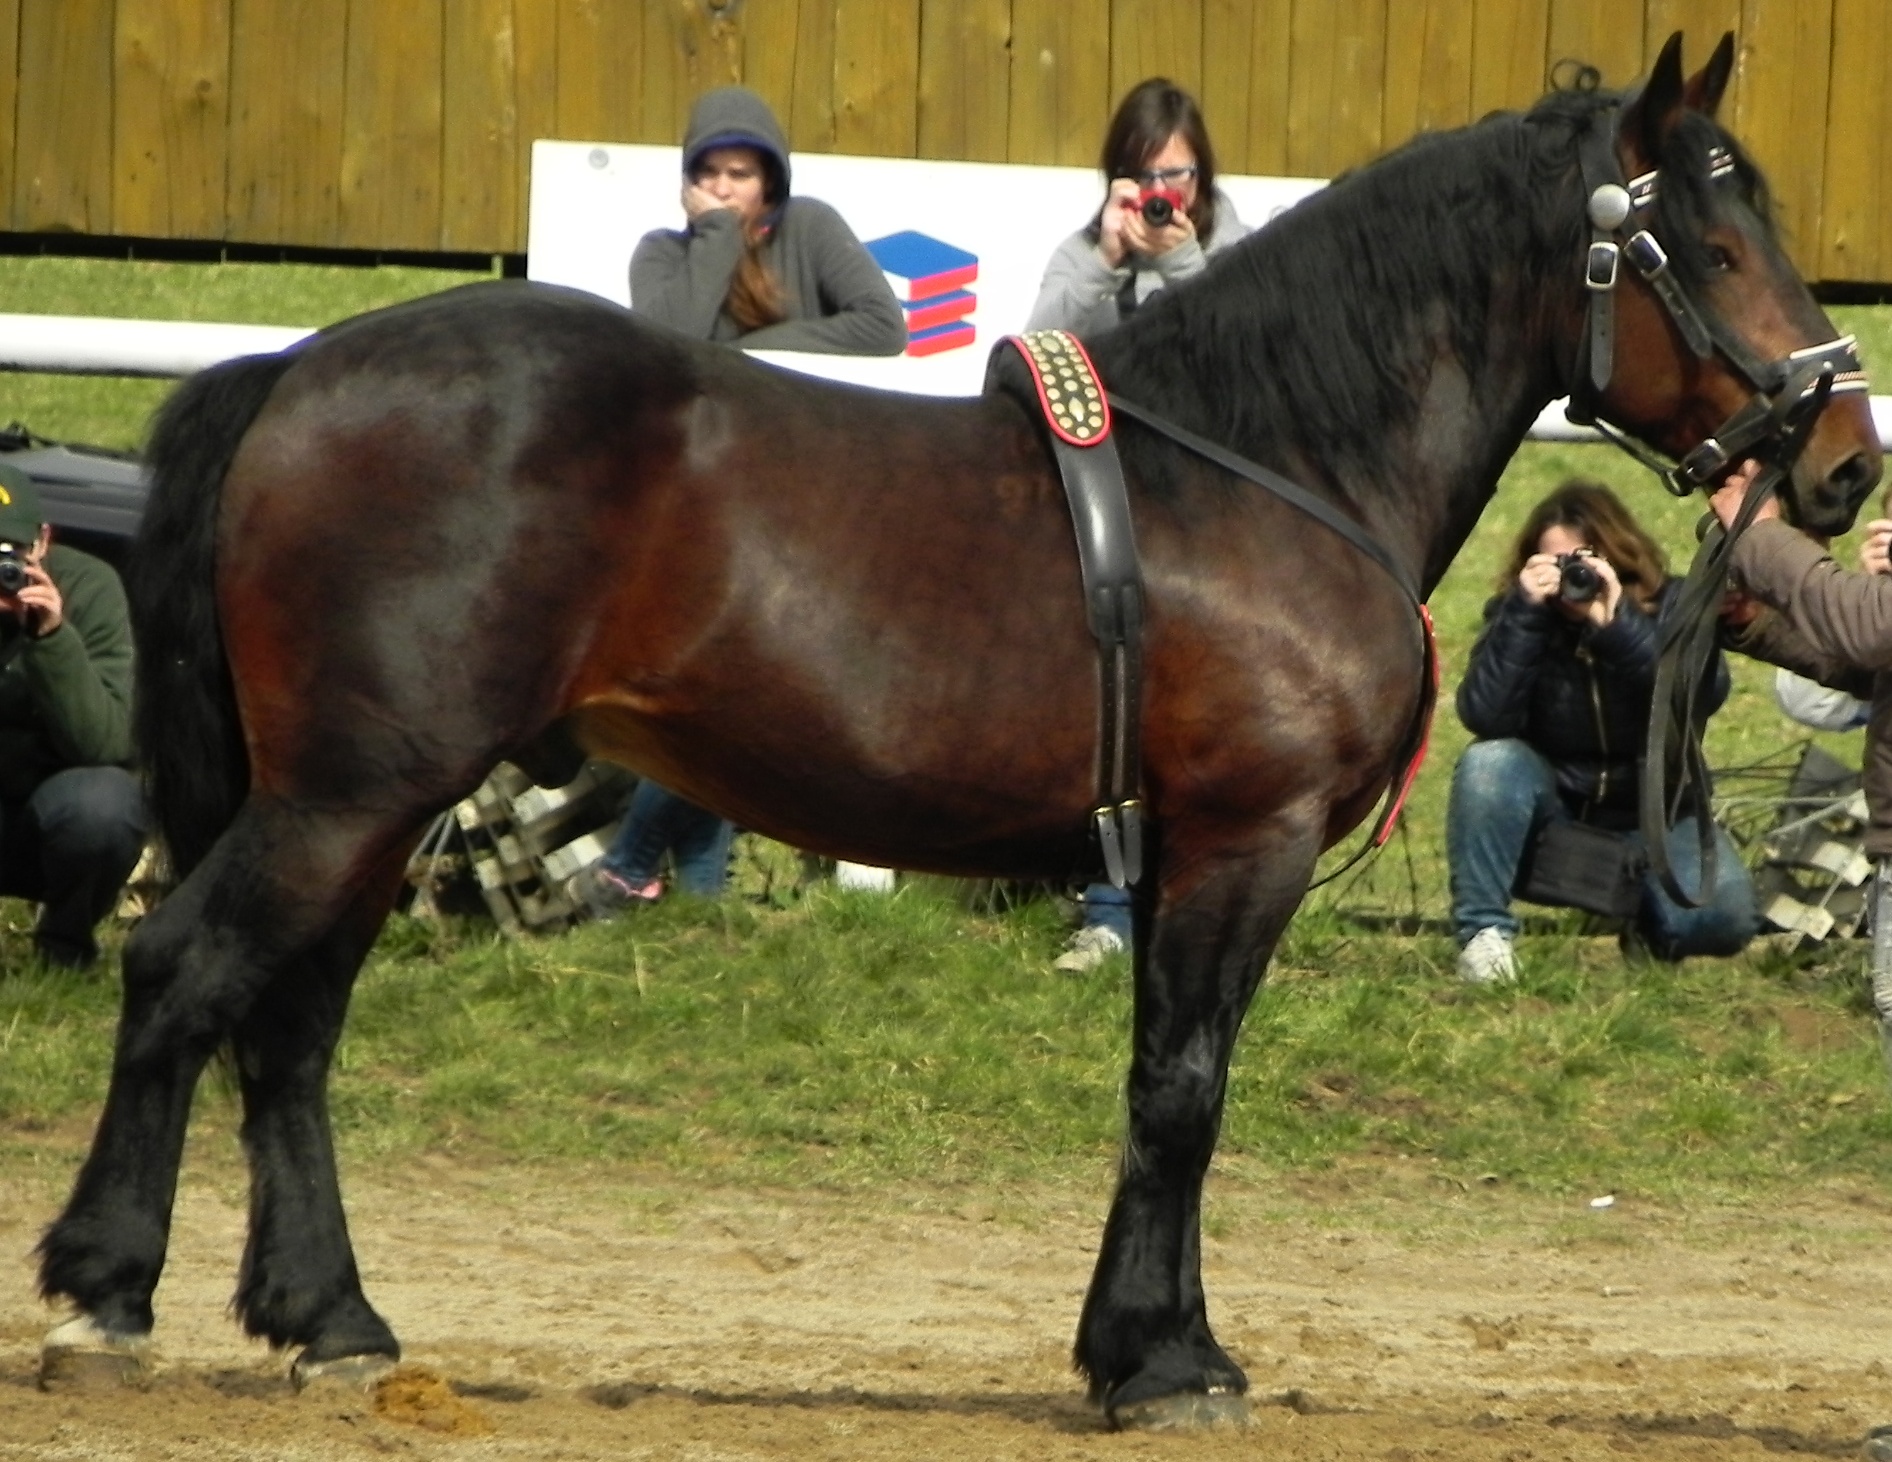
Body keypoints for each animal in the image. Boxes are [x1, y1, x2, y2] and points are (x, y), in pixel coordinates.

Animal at [33, 31, 1876, 1422]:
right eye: (1706, 248)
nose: (1845, 453)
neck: (1268, 463)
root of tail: (295, 370)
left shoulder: (1171, 851)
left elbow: (1156, 1075)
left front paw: (1132, 1343)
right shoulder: (1245, 839)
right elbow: (1187, 1086)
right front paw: (1172, 1363)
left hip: (365, 795)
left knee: (290, 1026)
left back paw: (331, 1319)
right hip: (352, 787)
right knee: (189, 971)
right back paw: (101, 1291)